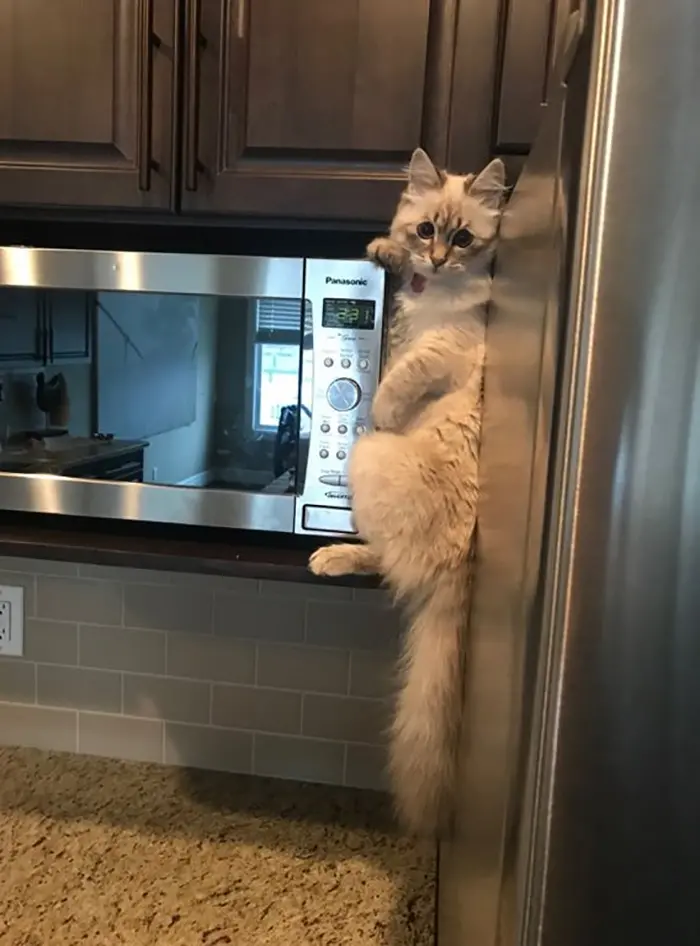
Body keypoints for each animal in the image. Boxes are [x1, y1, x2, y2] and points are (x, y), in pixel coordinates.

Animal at [308, 144, 506, 828]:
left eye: (464, 238)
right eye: (425, 231)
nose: (438, 259)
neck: (436, 292)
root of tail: (468, 558)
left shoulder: (454, 345)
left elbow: (405, 374)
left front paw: (383, 405)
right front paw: (382, 251)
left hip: (369, 459)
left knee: (389, 563)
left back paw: (331, 555)